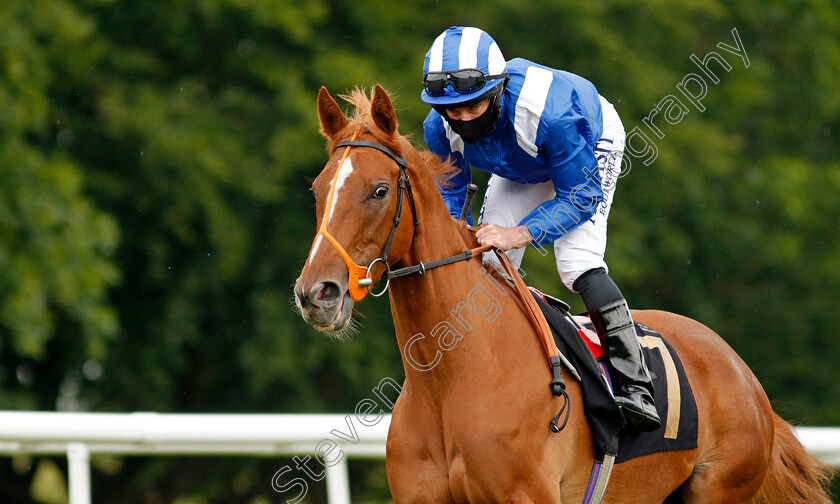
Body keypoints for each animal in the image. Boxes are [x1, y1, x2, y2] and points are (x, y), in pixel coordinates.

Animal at [292, 84, 832, 502]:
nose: (316, 292)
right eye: (318, 189)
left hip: (720, 488)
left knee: (584, 265)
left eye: (380, 190)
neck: (452, 377)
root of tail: (743, 374)